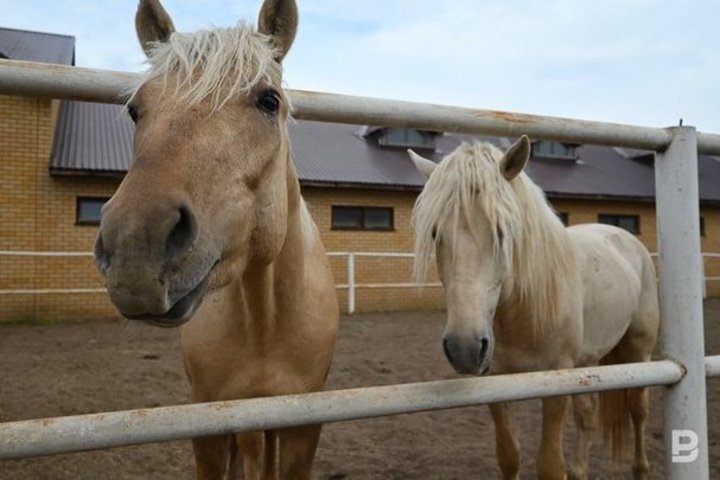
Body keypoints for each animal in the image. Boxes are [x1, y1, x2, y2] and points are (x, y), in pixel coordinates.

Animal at [94, 1, 338, 478]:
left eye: (269, 100)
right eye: (135, 111)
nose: (136, 242)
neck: (265, 322)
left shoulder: (304, 425)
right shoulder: (208, 415)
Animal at [410, 136, 660, 480]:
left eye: (503, 231)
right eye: (436, 232)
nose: (464, 348)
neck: (524, 313)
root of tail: (626, 238)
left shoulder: (556, 381)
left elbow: (550, 465)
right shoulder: (496, 380)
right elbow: (509, 456)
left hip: (638, 351)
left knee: (639, 409)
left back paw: (640, 468)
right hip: (589, 361)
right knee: (587, 415)